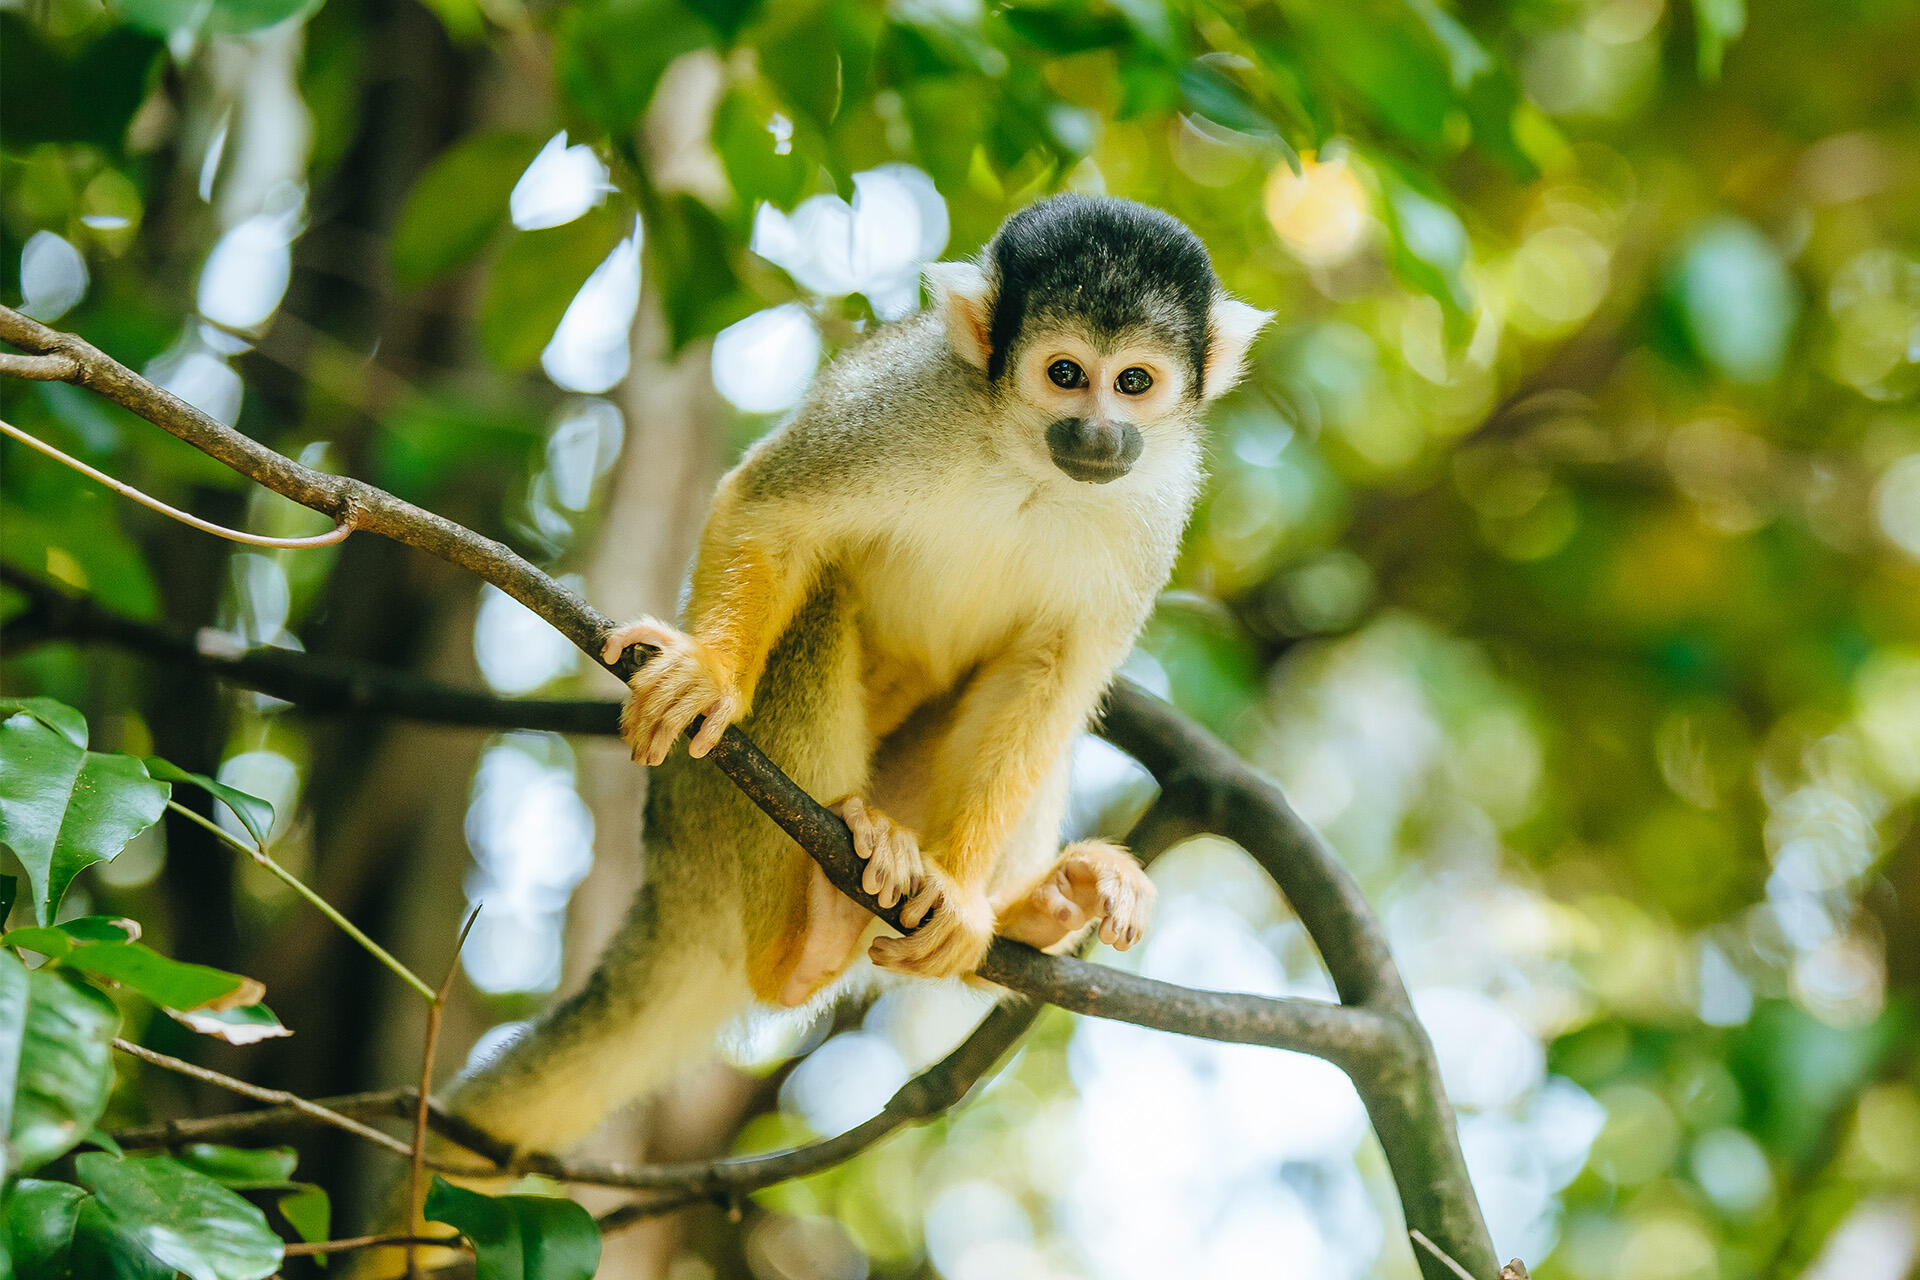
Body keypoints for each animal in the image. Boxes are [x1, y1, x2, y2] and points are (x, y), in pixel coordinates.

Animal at [449, 197, 1274, 1151]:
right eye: (1067, 373)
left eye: (1134, 382)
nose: (1100, 432)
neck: (1029, 461)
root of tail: (669, 882)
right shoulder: (905, 402)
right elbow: (772, 509)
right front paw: (709, 673)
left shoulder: (1156, 505)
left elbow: (1050, 675)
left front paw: (962, 895)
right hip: (706, 813)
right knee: (817, 601)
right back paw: (807, 932)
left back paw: (1035, 913)